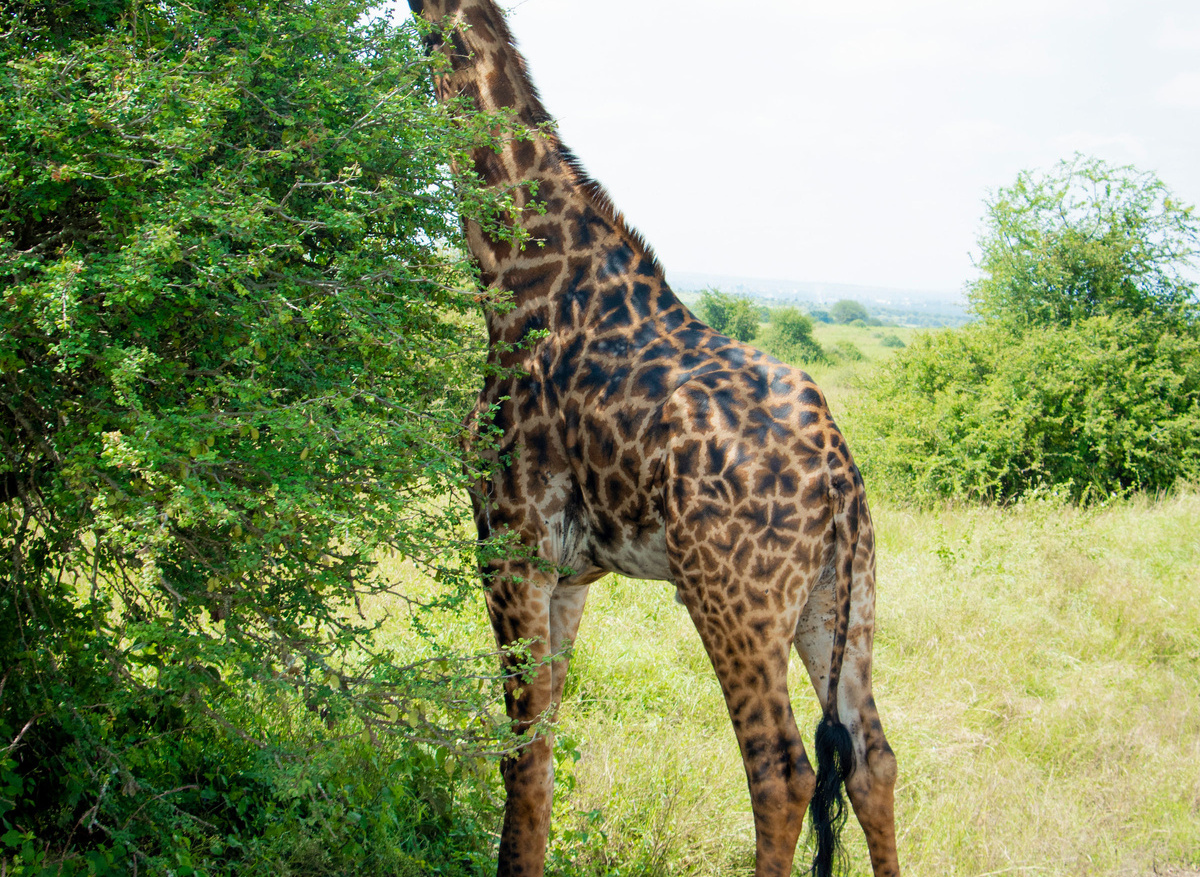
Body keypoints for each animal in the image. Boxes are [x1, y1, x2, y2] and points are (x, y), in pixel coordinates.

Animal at [407, 3, 899, 876]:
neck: (518, 270)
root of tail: (839, 480)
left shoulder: (510, 542)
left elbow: (521, 758)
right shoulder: (569, 573)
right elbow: (542, 746)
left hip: (733, 597)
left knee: (781, 772)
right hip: (842, 598)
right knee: (873, 759)